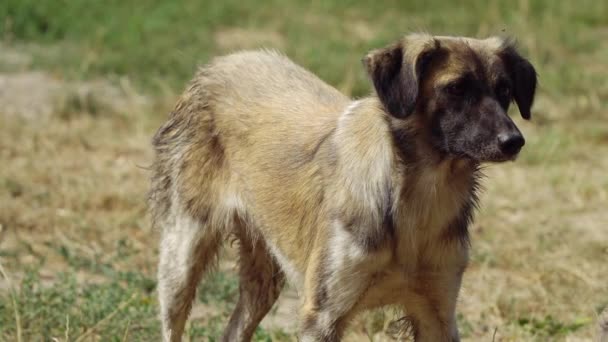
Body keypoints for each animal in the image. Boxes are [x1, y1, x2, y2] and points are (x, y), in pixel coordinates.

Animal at [148, 32, 536, 342]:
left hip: (263, 279)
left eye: (504, 90)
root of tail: (221, 62)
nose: (513, 141)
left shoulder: (437, 312)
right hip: (181, 258)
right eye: (455, 88)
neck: (417, 200)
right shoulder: (322, 316)